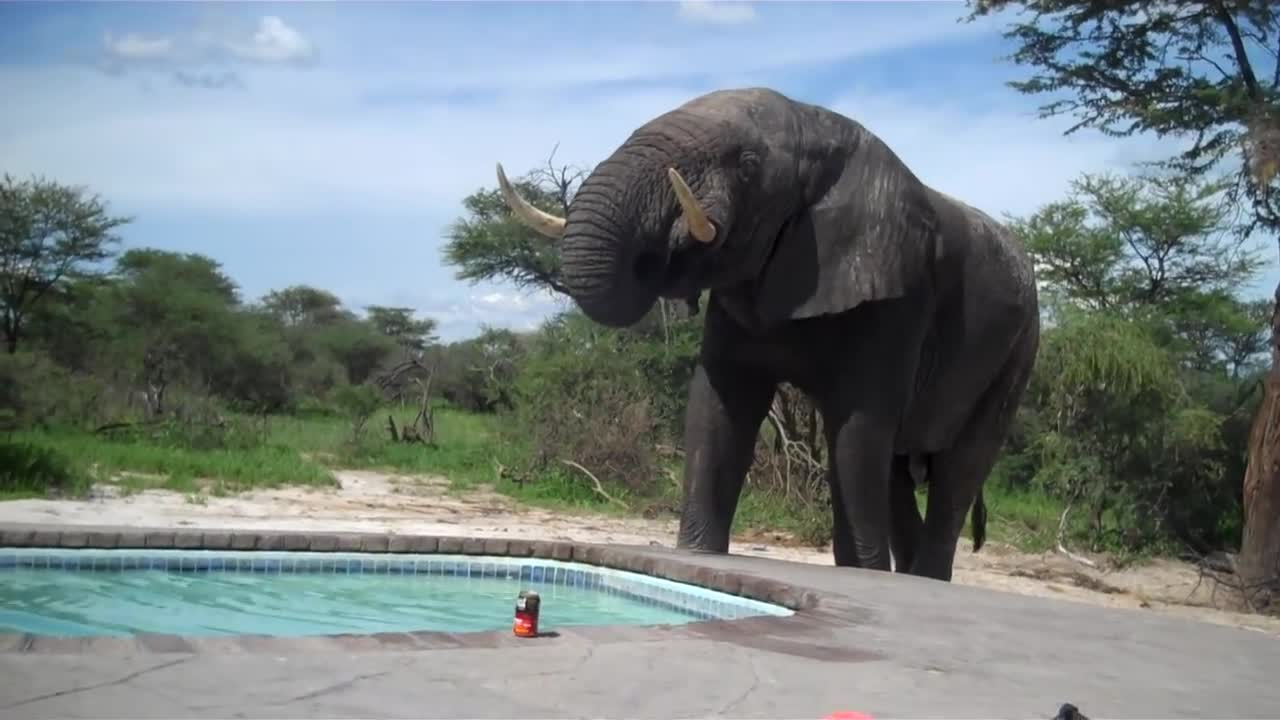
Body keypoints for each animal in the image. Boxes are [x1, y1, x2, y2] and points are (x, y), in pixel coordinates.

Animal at [491, 87, 1039, 579]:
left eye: (748, 163)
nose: (665, 244)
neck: (822, 127)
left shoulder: (897, 295)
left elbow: (858, 428)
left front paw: (861, 574)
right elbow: (718, 406)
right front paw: (697, 555)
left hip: (1019, 352)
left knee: (958, 469)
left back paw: (920, 579)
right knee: (899, 474)